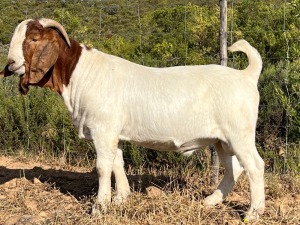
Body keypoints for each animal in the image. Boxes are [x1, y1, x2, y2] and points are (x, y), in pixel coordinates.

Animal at [2, 18, 264, 221]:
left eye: (34, 39)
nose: (11, 63)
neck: (80, 73)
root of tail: (246, 76)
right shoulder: (114, 134)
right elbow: (117, 164)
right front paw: (121, 199)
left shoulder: (103, 129)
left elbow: (103, 167)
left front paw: (100, 207)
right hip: (222, 140)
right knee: (234, 168)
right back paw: (211, 200)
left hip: (239, 133)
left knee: (255, 166)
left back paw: (253, 213)